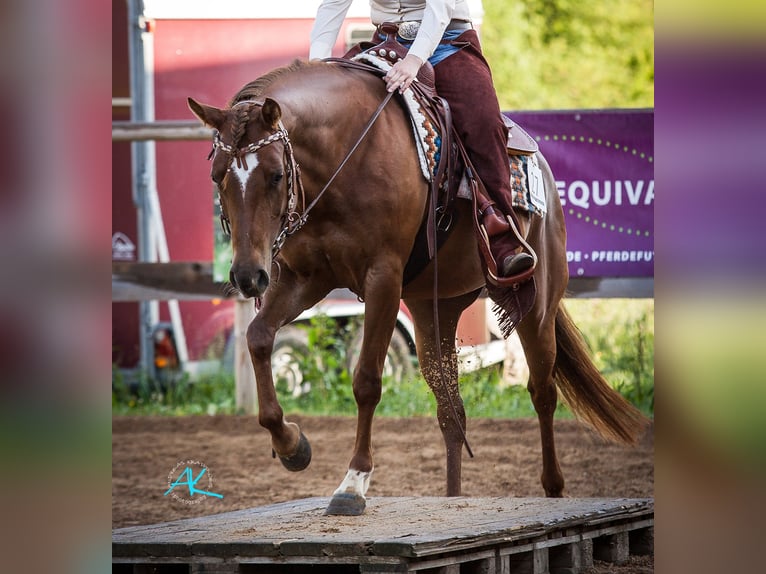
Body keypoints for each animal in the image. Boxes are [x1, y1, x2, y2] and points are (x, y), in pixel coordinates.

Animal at [189, 59, 652, 516]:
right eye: (216, 176)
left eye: (276, 175)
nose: (247, 276)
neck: (345, 155)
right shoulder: (305, 279)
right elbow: (258, 338)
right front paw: (291, 445)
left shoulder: (383, 279)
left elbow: (366, 380)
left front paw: (353, 483)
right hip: (437, 311)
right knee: (452, 413)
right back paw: (452, 498)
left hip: (537, 302)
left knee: (543, 392)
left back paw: (553, 490)